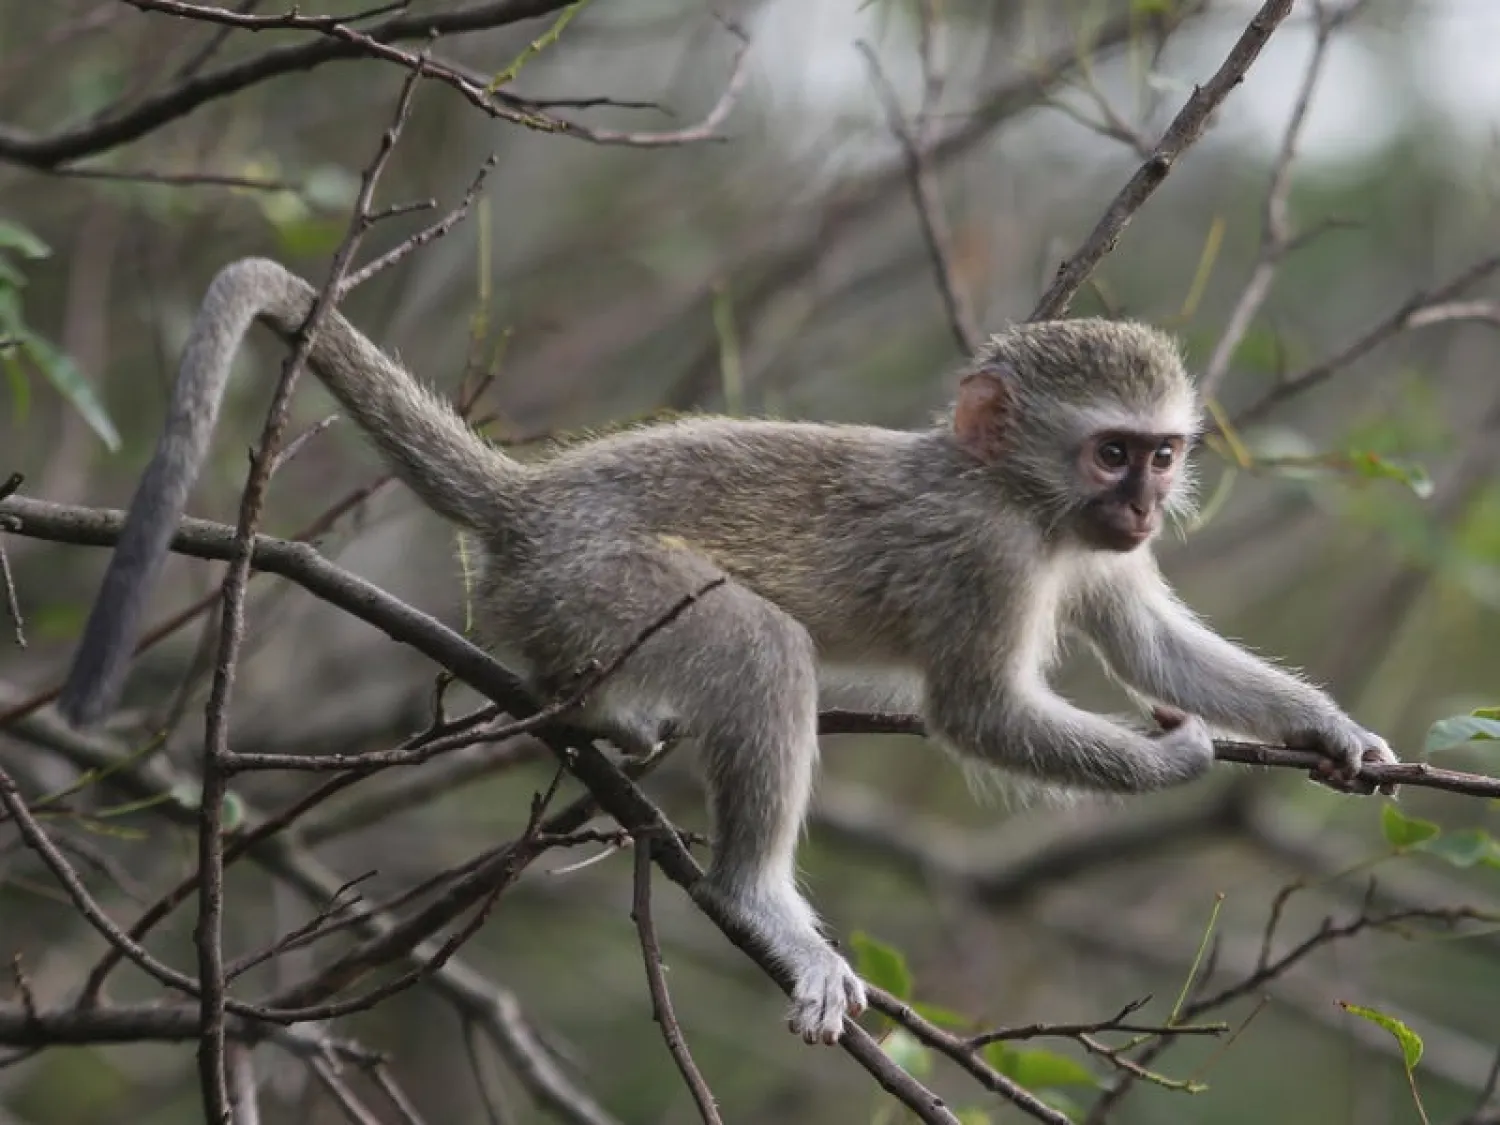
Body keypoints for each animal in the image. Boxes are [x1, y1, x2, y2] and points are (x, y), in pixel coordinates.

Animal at [57, 258, 1398, 1046]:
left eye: (1161, 455)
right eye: (1111, 451)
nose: (1147, 501)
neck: (1019, 497)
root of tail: (528, 505)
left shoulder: (1091, 554)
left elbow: (1158, 643)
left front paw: (1328, 730)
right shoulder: (988, 559)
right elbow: (974, 714)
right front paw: (1177, 764)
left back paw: (598, 717)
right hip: (599, 582)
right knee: (759, 644)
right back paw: (759, 897)